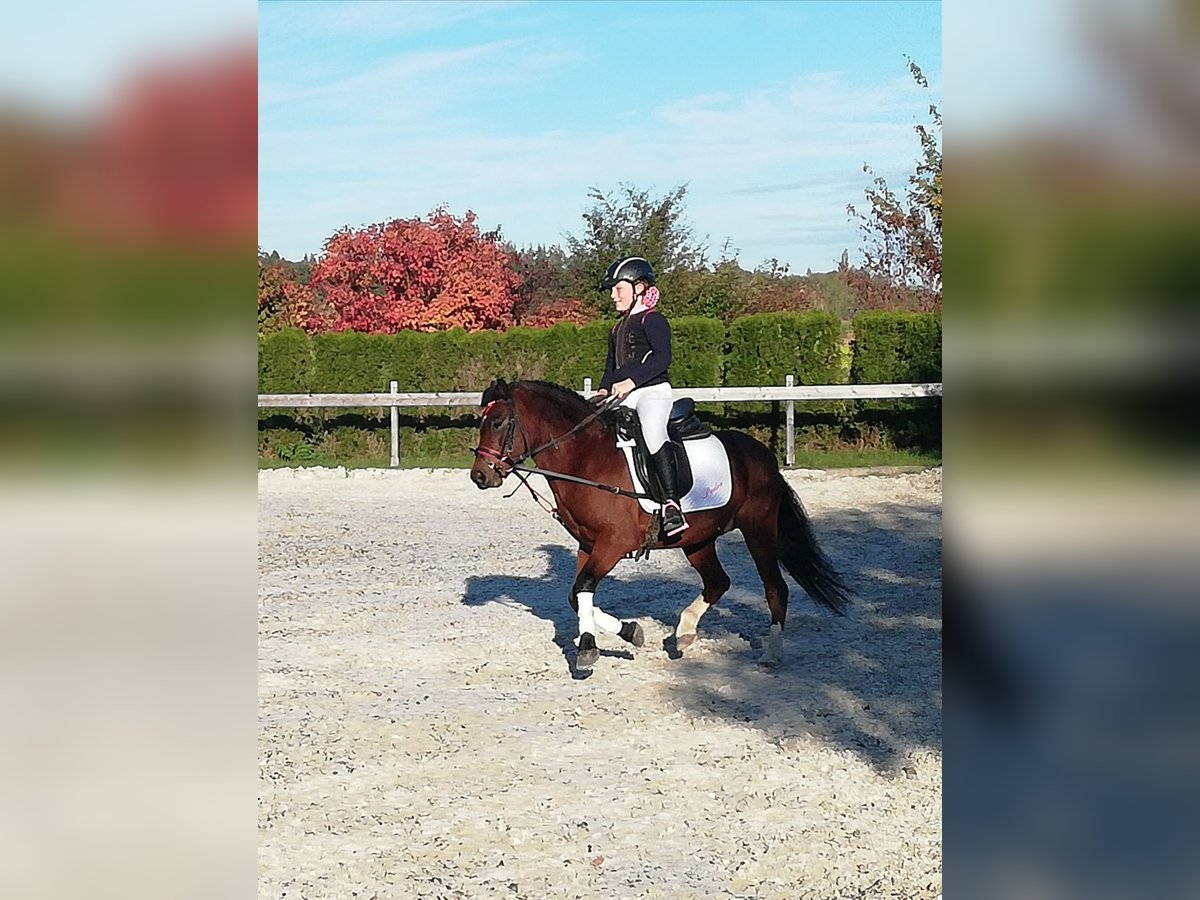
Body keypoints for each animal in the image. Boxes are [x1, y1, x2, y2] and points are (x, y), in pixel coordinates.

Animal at [469, 378, 850, 670]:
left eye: (498, 422)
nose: (479, 476)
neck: (584, 457)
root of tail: (763, 455)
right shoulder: (588, 544)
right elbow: (576, 594)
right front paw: (626, 632)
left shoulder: (614, 543)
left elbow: (583, 587)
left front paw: (589, 648)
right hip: (697, 540)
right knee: (718, 582)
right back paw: (683, 633)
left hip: (758, 532)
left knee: (775, 589)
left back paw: (771, 654)